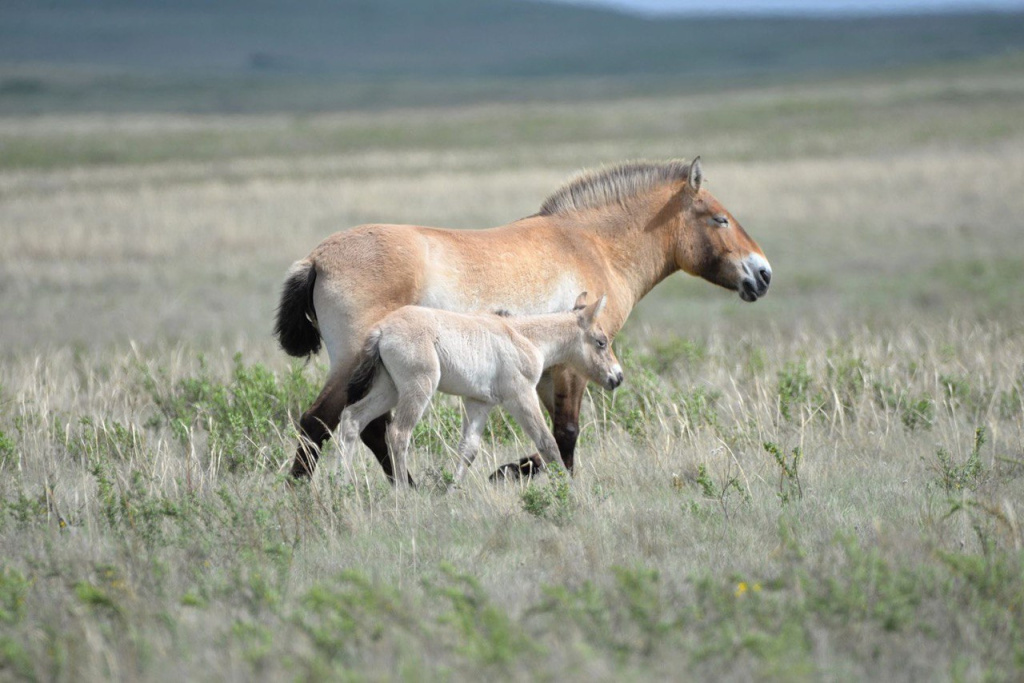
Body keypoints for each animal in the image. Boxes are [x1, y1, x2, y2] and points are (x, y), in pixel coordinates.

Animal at [335, 293, 622, 487]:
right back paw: (404, 493)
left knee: (352, 418)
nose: (617, 377)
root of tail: (381, 329)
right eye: (601, 342)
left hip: (390, 389)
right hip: (418, 389)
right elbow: (547, 442)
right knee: (398, 434)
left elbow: (468, 450)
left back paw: (341, 485)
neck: (524, 336)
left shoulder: (478, 403)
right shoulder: (520, 396)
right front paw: (569, 489)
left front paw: (450, 493)